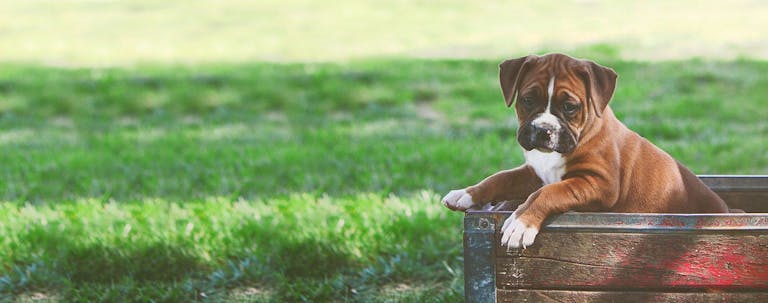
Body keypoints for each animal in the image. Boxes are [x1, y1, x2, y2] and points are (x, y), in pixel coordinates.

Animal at [440, 54, 728, 249]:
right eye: (527, 100)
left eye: (569, 107)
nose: (543, 130)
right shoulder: (535, 174)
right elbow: (501, 177)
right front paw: (466, 193)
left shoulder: (597, 183)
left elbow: (549, 193)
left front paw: (521, 223)